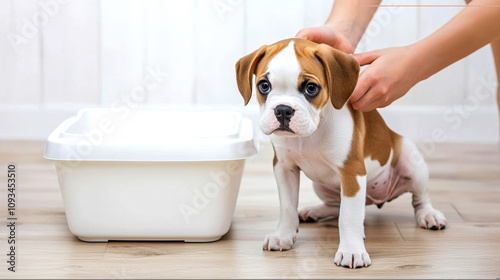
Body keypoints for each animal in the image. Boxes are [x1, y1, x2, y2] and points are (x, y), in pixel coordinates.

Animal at [236, 38, 448, 270]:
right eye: (264, 86)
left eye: (311, 88)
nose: (283, 110)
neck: (310, 133)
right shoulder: (284, 168)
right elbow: (288, 207)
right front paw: (283, 235)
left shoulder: (351, 172)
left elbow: (348, 217)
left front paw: (351, 250)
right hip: (321, 185)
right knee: (335, 205)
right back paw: (314, 212)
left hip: (412, 162)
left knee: (420, 198)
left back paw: (429, 215)